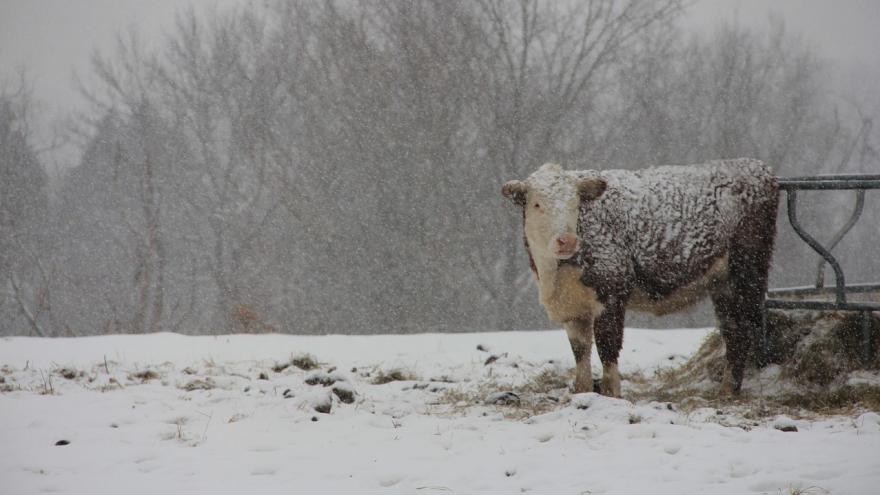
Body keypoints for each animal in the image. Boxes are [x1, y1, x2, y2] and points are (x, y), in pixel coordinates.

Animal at [502, 161, 776, 398]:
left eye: (575, 204)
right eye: (537, 204)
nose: (567, 240)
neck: (554, 274)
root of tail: (757, 167)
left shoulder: (611, 291)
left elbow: (607, 347)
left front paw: (612, 394)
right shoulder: (572, 308)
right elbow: (580, 352)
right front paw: (582, 392)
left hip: (747, 271)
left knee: (745, 327)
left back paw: (730, 390)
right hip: (722, 283)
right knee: (733, 329)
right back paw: (727, 390)